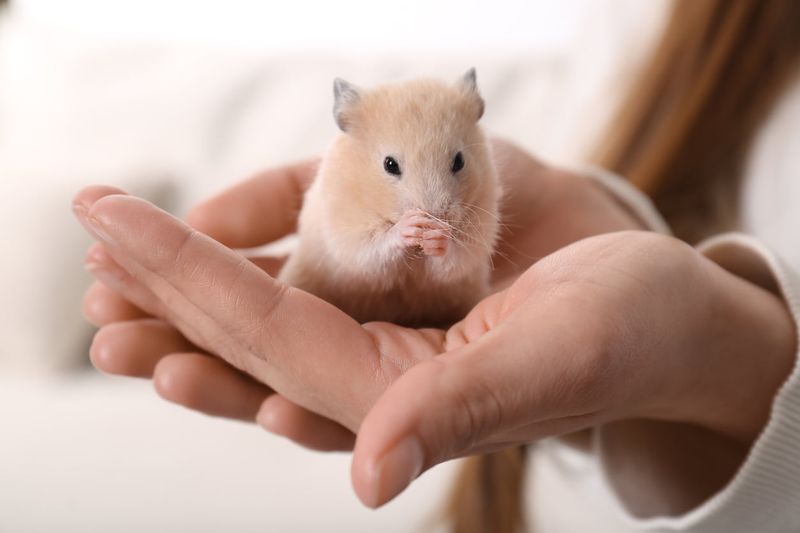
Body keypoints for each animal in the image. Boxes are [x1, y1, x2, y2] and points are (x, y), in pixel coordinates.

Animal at [278, 69, 496, 328]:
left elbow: (455, 258)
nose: (433, 216)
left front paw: (437, 235)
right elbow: (374, 248)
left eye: (460, 161)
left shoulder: (479, 231)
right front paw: (411, 226)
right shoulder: (347, 233)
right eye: (389, 164)